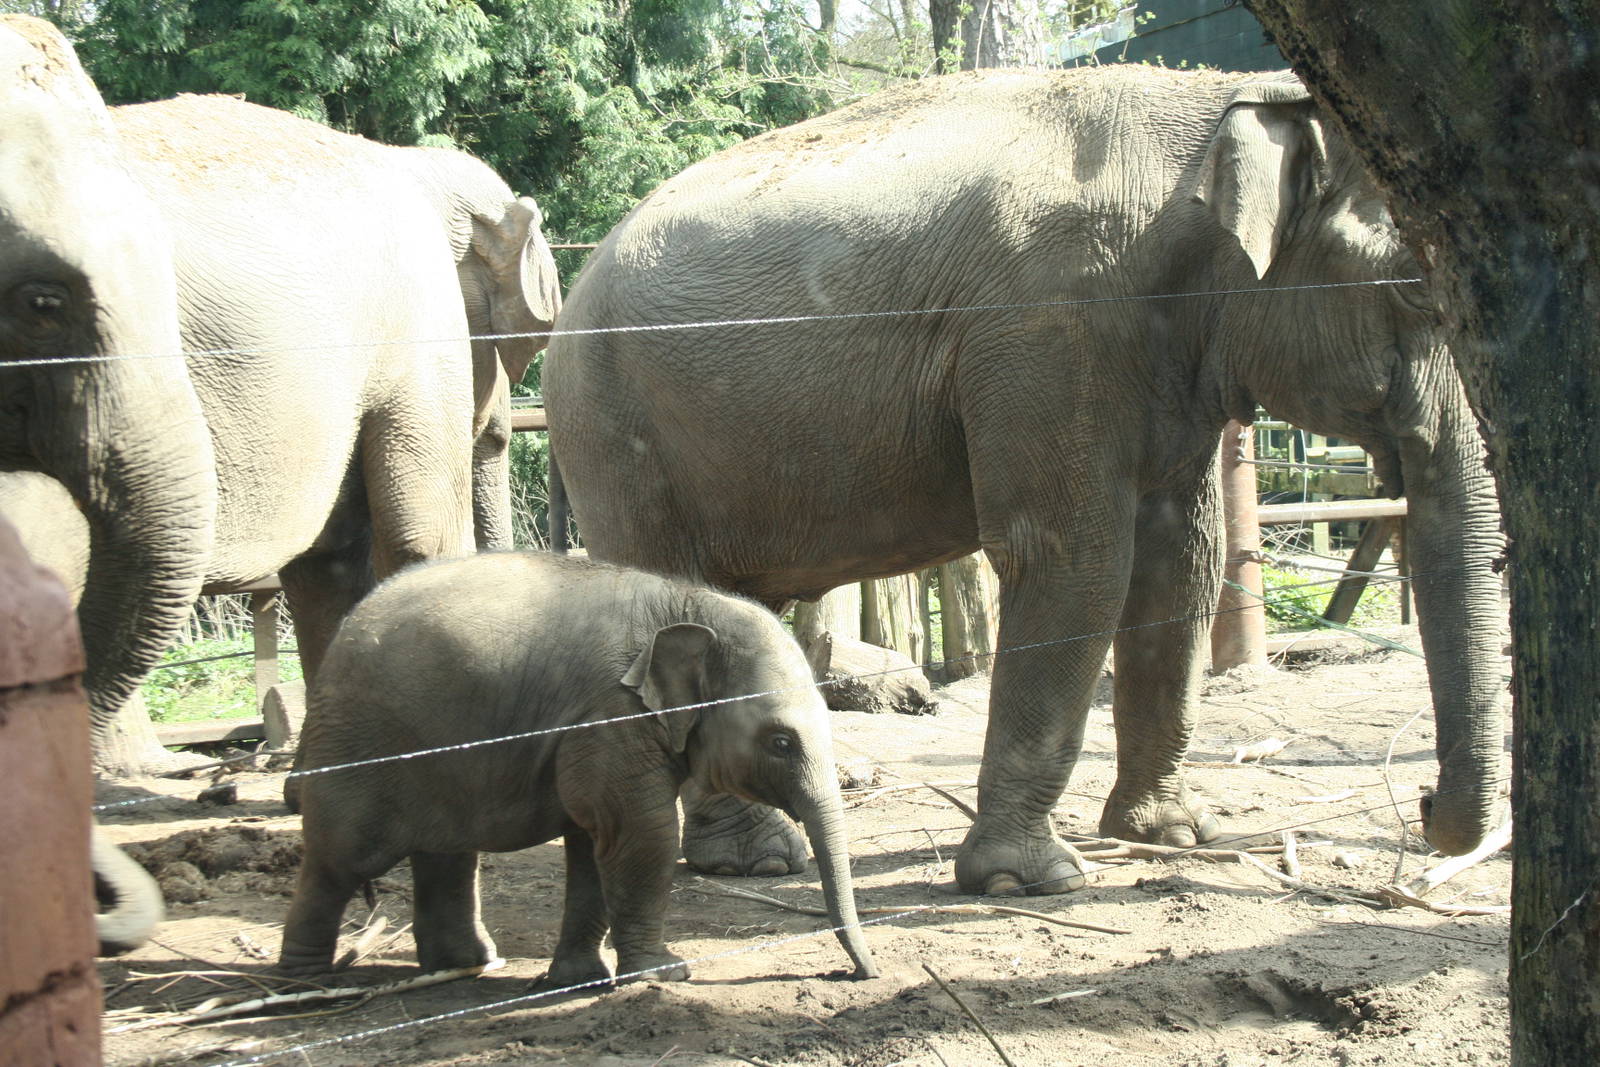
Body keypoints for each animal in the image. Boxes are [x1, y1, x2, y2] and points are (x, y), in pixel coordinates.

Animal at [280, 552, 879, 985]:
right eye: (780, 742)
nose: (858, 975)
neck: (690, 603)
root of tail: (347, 627)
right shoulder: (611, 715)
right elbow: (641, 833)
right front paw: (665, 973)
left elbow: (594, 842)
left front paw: (577, 979)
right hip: (360, 742)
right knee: (343, 857)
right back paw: (308, 985)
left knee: (445, 853)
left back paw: (463, 967)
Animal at [544, 67, 1505, 896]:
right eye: (1420, 293)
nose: (1425, 809)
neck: (1206, 118)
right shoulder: (1051, 327)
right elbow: (1075, 559)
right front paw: (1027, 879)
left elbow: (1179, 563)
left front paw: (1171, 834)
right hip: (614, 429)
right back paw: (752, 858)